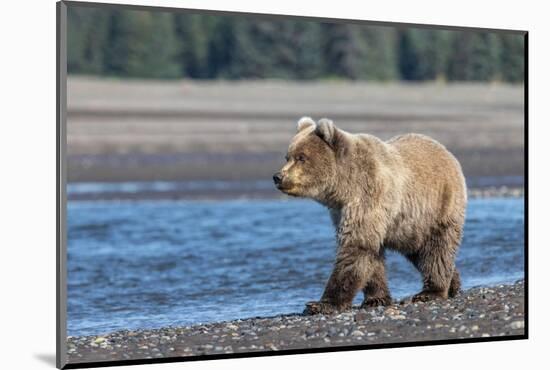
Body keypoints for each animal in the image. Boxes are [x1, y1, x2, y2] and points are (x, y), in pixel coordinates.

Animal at [274, 117, 468, 314]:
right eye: (287, 156)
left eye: (301, 157)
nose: (278, 177)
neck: (344, 187)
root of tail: (446, 152)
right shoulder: (341, 211)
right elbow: (371, 255)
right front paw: (376, 298)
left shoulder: (369, 195)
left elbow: (356, 247)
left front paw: (320, 304)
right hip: (407, 227)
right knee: (419, 251)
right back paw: (453, 284)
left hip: (437, 207)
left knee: (436, 248)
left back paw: (431, 291)